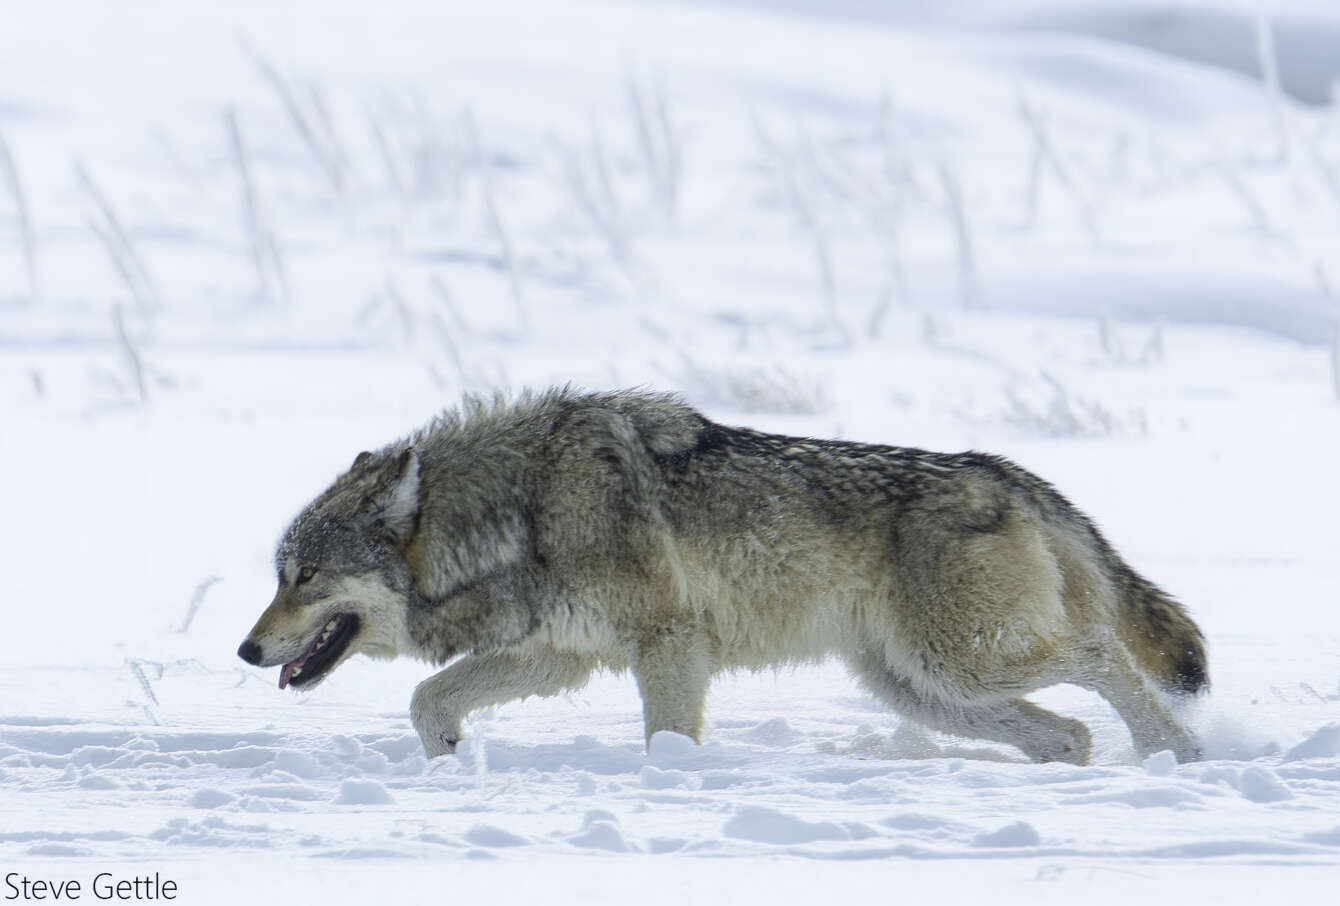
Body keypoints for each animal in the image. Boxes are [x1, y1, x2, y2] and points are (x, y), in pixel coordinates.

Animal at [235, 385, 1211, 761]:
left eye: (306, 576)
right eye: (281, 573)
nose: (246, 650)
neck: (520, 510)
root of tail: (1007, 473)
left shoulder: (668, 642)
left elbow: (667, 736)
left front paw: (672, 785)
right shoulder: (562, 654)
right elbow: (426, 698)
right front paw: (446, 760)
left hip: (960, 664)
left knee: (1101, 653)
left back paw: (1180, 753)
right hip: (926, 687)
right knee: (1067, 732)